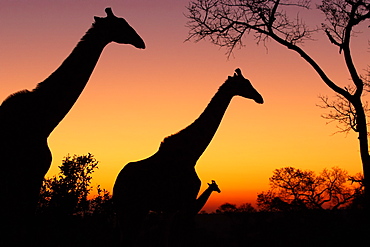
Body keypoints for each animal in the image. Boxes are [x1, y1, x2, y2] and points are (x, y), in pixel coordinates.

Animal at [112, 68, 264, 247]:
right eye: (245, 83)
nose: (260, 98)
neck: (191, 155)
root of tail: (117, 182)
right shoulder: (184, 203)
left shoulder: (172, 206)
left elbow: (165, 238)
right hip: (130, 207)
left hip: (134, 208)